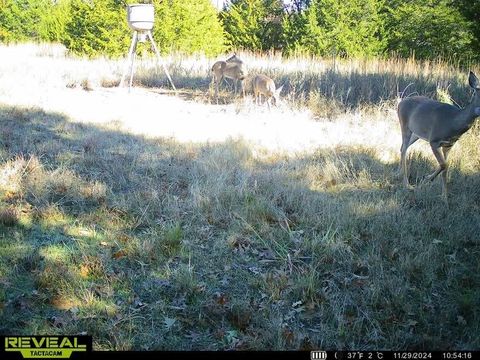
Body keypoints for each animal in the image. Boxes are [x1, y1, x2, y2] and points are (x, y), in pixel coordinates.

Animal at [398, 70, 480, 200]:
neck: (453, 123)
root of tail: (401, 102)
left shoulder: (448, 145)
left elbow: (446, 167)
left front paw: (444, 196)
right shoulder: (434, 140)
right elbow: (443, 165)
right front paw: (427, 179)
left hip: (416, 134)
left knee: (402, 148)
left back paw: (399, 173)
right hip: (405, 126)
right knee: (404, 149)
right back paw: (407, 184)